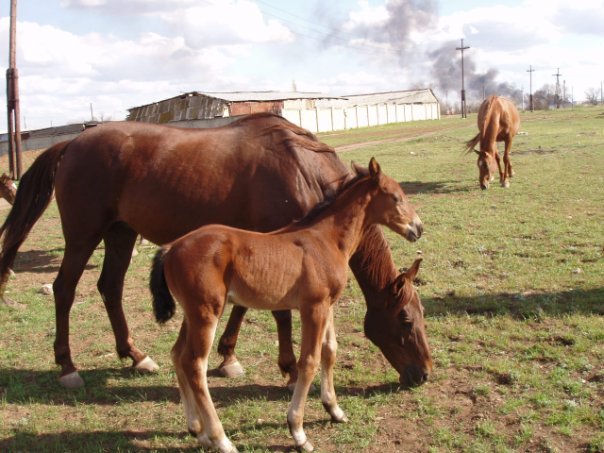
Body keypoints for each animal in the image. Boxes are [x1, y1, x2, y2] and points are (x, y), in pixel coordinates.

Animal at [0, 113, 430, 388]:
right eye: (406, 320)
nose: (423, 373)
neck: (301, 169)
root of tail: (72, 142)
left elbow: (244, 305)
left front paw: (228, 356)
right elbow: (279, 312)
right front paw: (289, 368)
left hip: (121, 233)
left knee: (110, 288)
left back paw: (136, 356)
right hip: (83, 235)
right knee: (65, 290)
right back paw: (67, 367)